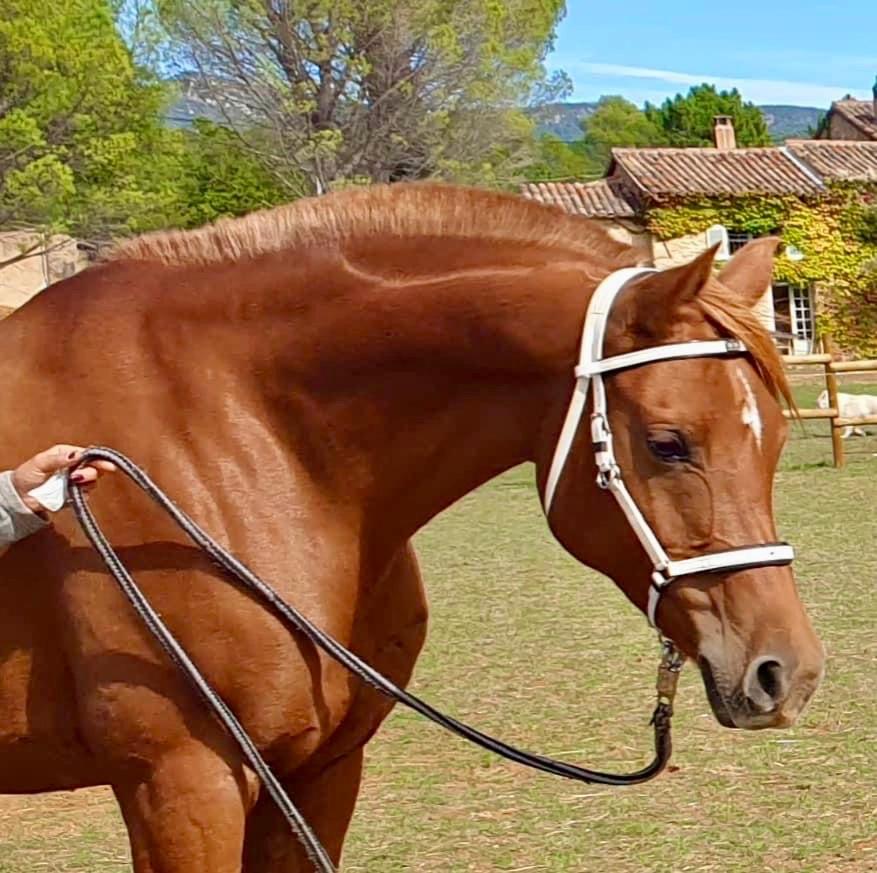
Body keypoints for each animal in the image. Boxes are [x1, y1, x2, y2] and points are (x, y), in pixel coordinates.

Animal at [0, 183, 824, 872]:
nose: (786, 671)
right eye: (667, 443)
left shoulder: (321, 771)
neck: (244, 436)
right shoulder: (182, 783)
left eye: (779, 439)